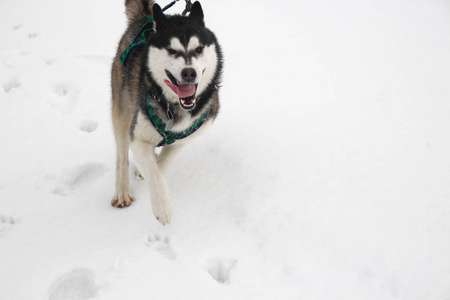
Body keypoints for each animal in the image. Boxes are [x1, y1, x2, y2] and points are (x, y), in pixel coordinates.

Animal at [111, 0, 223, 224]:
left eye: (199, 49)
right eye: (171, 50)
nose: (189, 73)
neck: (174, 108)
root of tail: (145, 18)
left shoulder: (186, 136)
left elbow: (161, 164)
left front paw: (145, 169)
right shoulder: (138, 136)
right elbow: (153, 171)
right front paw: (162, 207)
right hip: (122, 107)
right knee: (121, 155)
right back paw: (122, 191)